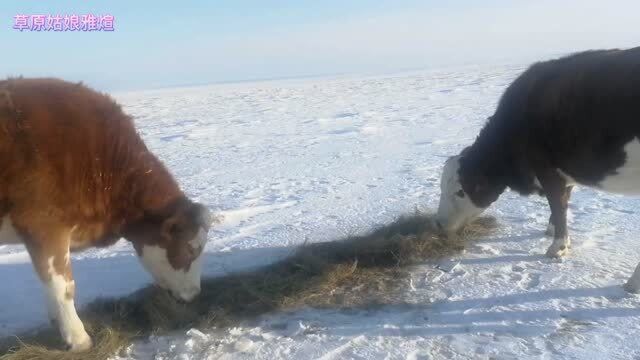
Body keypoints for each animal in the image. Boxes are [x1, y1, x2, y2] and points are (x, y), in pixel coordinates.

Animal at [0, 79, 215, 352]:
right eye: (191, 249)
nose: (195, 294)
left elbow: (50, 283)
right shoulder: (43, 224)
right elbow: (63, 285)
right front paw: (78, 339)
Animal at [438, 46, 640, 290]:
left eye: (460, 191)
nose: (437, 224)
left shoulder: (546, 168)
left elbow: (557, 204)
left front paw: (557, 247)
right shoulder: (563, 172)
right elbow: (562, 204)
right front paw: (551, 231)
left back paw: (632, 283)